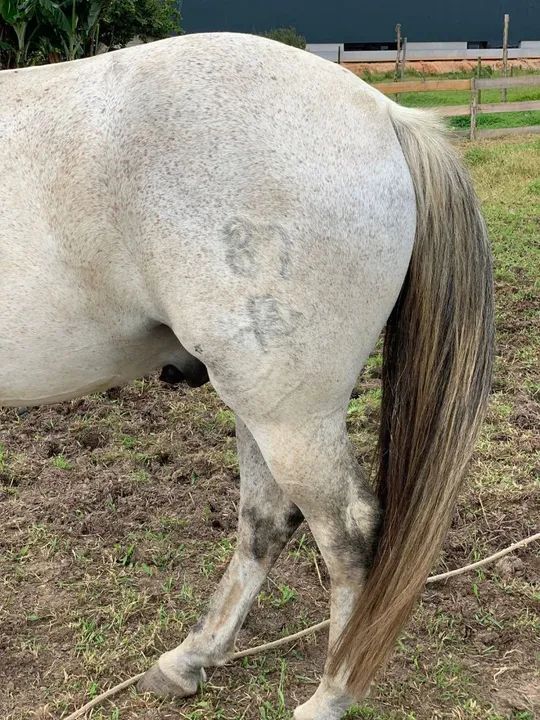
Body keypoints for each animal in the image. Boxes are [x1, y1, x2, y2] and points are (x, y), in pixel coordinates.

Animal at [0, 32, 494, 720]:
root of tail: (384, 113)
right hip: (262, 403)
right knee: (266, 520)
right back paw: (190, 660)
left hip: (288, 415)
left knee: (348, 531)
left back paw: (329, 695)